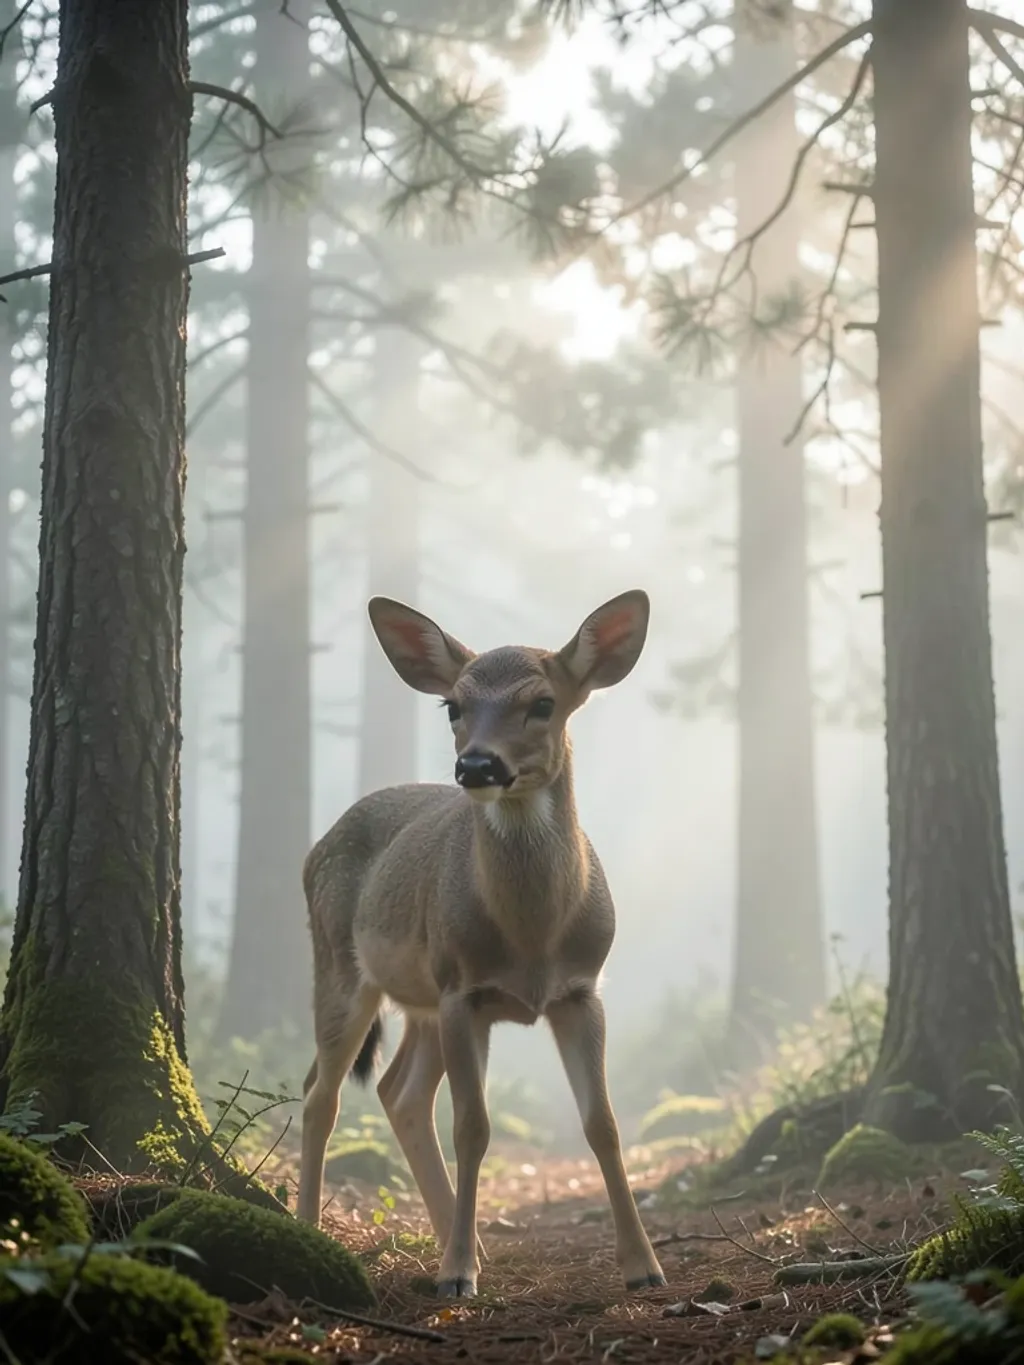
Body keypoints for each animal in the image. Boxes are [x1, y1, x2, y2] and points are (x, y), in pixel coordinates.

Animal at [297, 590, 666, 1299]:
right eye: (453, 706)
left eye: (543, 703)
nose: (477, 764)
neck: (533, 936)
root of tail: (315, 847)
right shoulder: (464, 990)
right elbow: (473, 1126)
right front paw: (459, 1276)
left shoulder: (582, 990)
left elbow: (603, 1125)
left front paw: (645, 1267)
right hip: (341, 965)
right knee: (320, 1096)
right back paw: (317, 1234)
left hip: (422, 1001)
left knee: (398, 1092)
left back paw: (456, 1240)